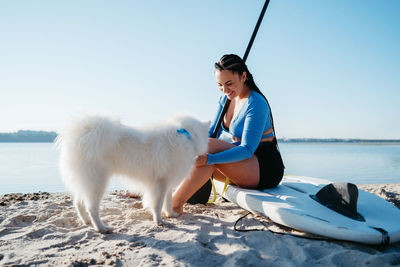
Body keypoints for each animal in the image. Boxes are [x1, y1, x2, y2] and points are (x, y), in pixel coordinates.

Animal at [55, 114, 209, 233]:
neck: (186, 134)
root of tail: (85, 132)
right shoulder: (161, 183)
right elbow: (157, 204)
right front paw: (159, 221)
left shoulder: (167, 182)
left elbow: (168, 201)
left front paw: (171, 215)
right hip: (98, 182)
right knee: (91, 208)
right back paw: (101, 228)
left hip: (85, 182)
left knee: (78, 202)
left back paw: (87, 222)